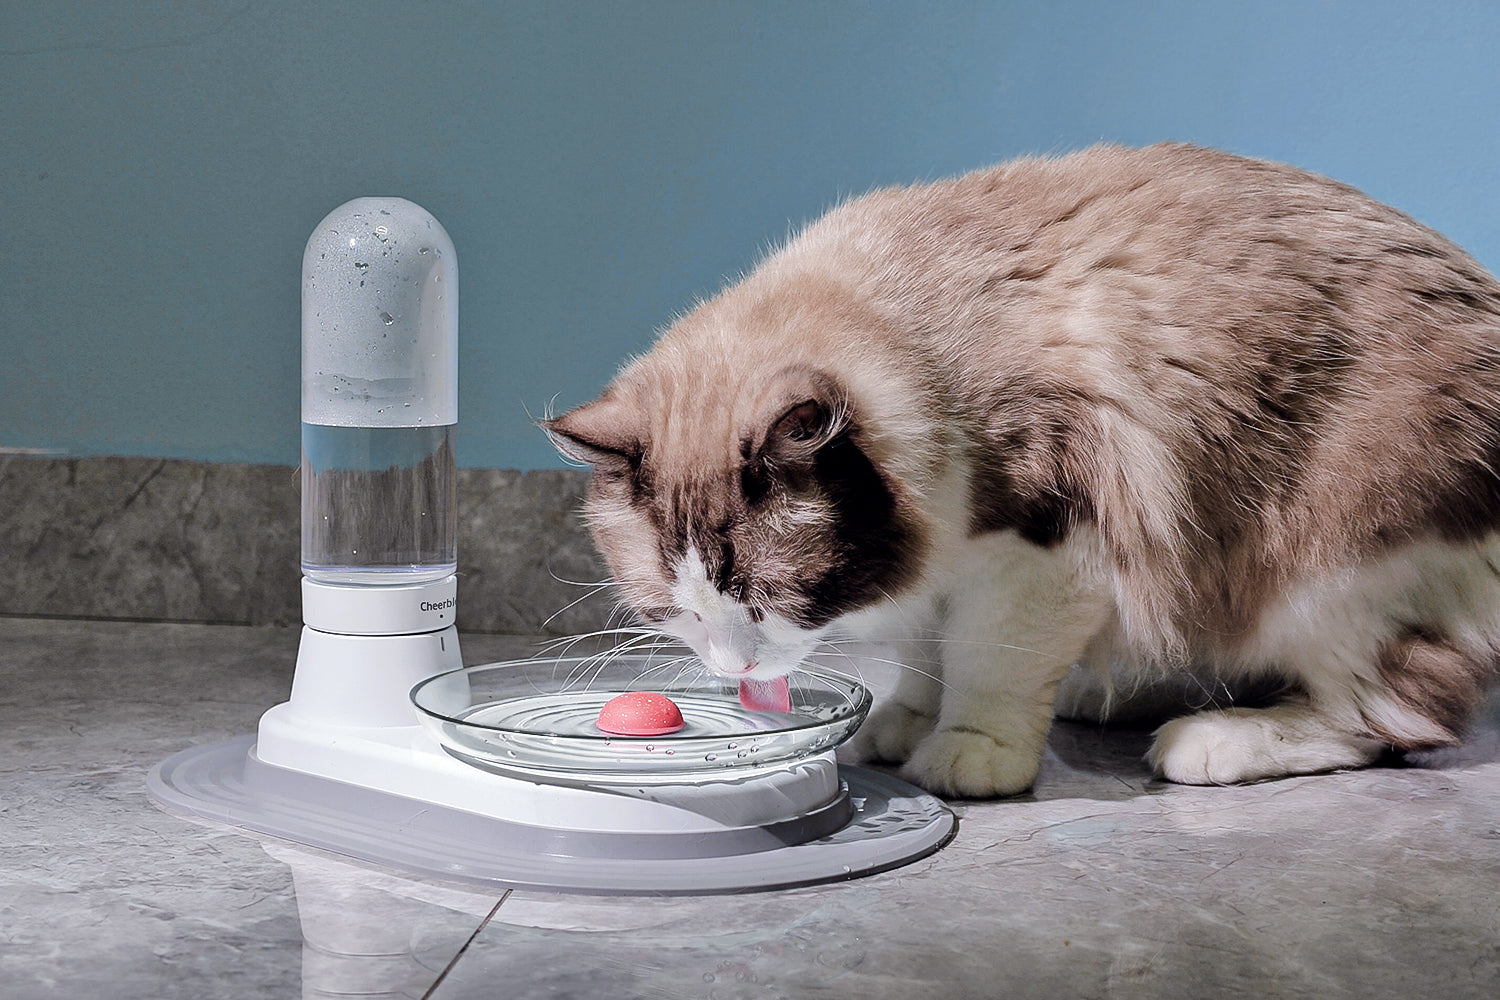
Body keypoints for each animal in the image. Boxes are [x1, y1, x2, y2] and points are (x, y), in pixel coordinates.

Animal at [546, 142, 1500, 797]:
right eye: (674, 613)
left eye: (772, 601)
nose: (735, 669)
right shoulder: (932, 560)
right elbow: (922, 656)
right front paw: (903, 725)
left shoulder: (1042, 547)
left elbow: (984, 662)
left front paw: (969, 753)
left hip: (1320, 572)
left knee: (1399, 714)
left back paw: (1212, 738)